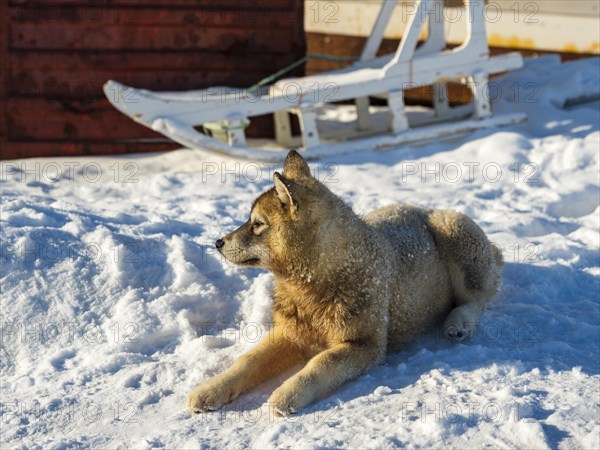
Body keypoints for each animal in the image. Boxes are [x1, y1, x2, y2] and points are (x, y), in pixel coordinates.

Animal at [186, 150, 502, 414]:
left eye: (257, 224)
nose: (217, 242)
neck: (313, 283)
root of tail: (424, 208)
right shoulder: (289, 333)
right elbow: (247, 361)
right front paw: (212, 389)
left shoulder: (364, 345)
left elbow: (321, 363)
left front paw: (288, 393)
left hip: (455, 234)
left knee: (476, 300)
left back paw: (459, 323)